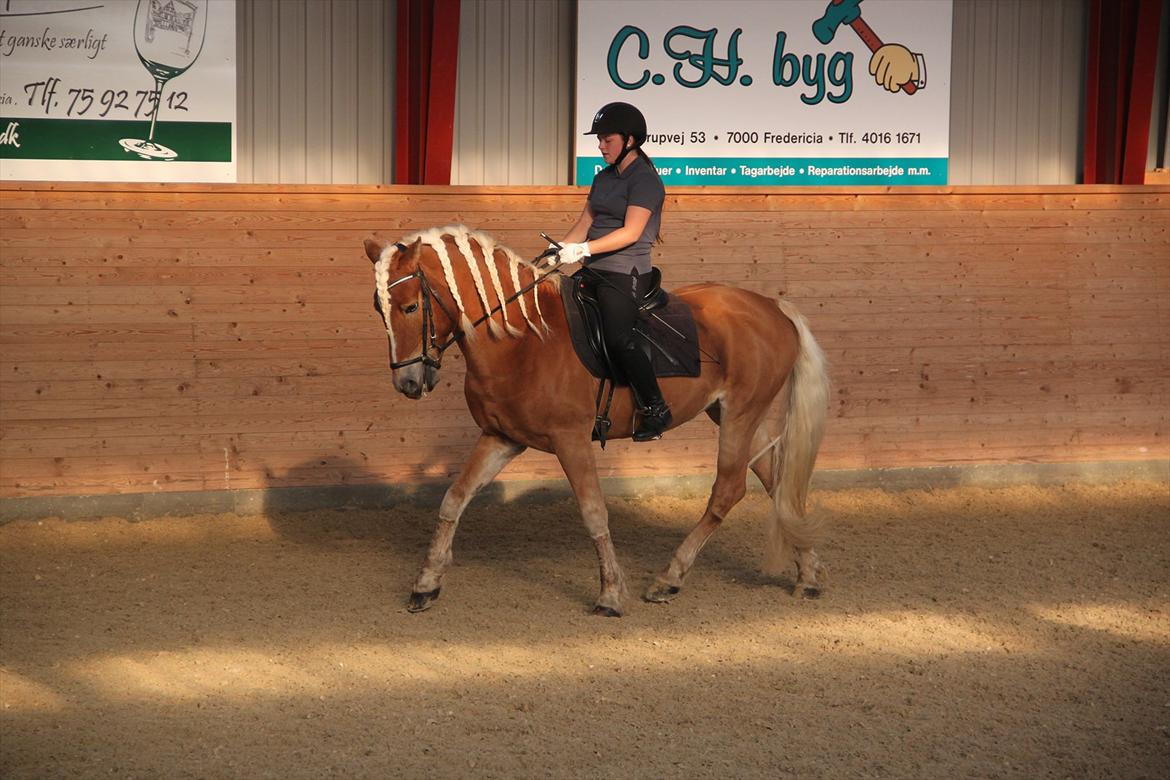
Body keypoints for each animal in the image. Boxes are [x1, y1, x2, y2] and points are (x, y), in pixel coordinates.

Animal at [365, 224, 833, 617]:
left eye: (410, 306)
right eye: (379, 310)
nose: (408, 382)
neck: (523, 341)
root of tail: (772, 306)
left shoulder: (570, 439)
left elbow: (593, 512)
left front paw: (610, 594)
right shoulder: (500, 437)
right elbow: (453, 500)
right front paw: (426, 583)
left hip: (740, 412)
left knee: (729, 490)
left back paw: (669, 578)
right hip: (733, 413)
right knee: (776, 480)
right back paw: (808, 574)